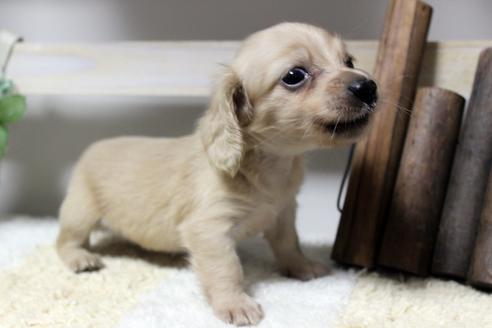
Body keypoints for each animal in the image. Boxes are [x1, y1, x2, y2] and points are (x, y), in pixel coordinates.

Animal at [58, 23, 376, 326]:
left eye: (349, 60)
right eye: (295, 75)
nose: (368, 86)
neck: (270, 165)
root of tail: (93, 147)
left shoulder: (284, 212)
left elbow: (289, 243)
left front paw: (302, 266)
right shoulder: (209, 229)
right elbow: (227, 269)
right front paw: (235, 304)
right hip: (81, 212)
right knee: (65, 240)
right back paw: (80, 257)